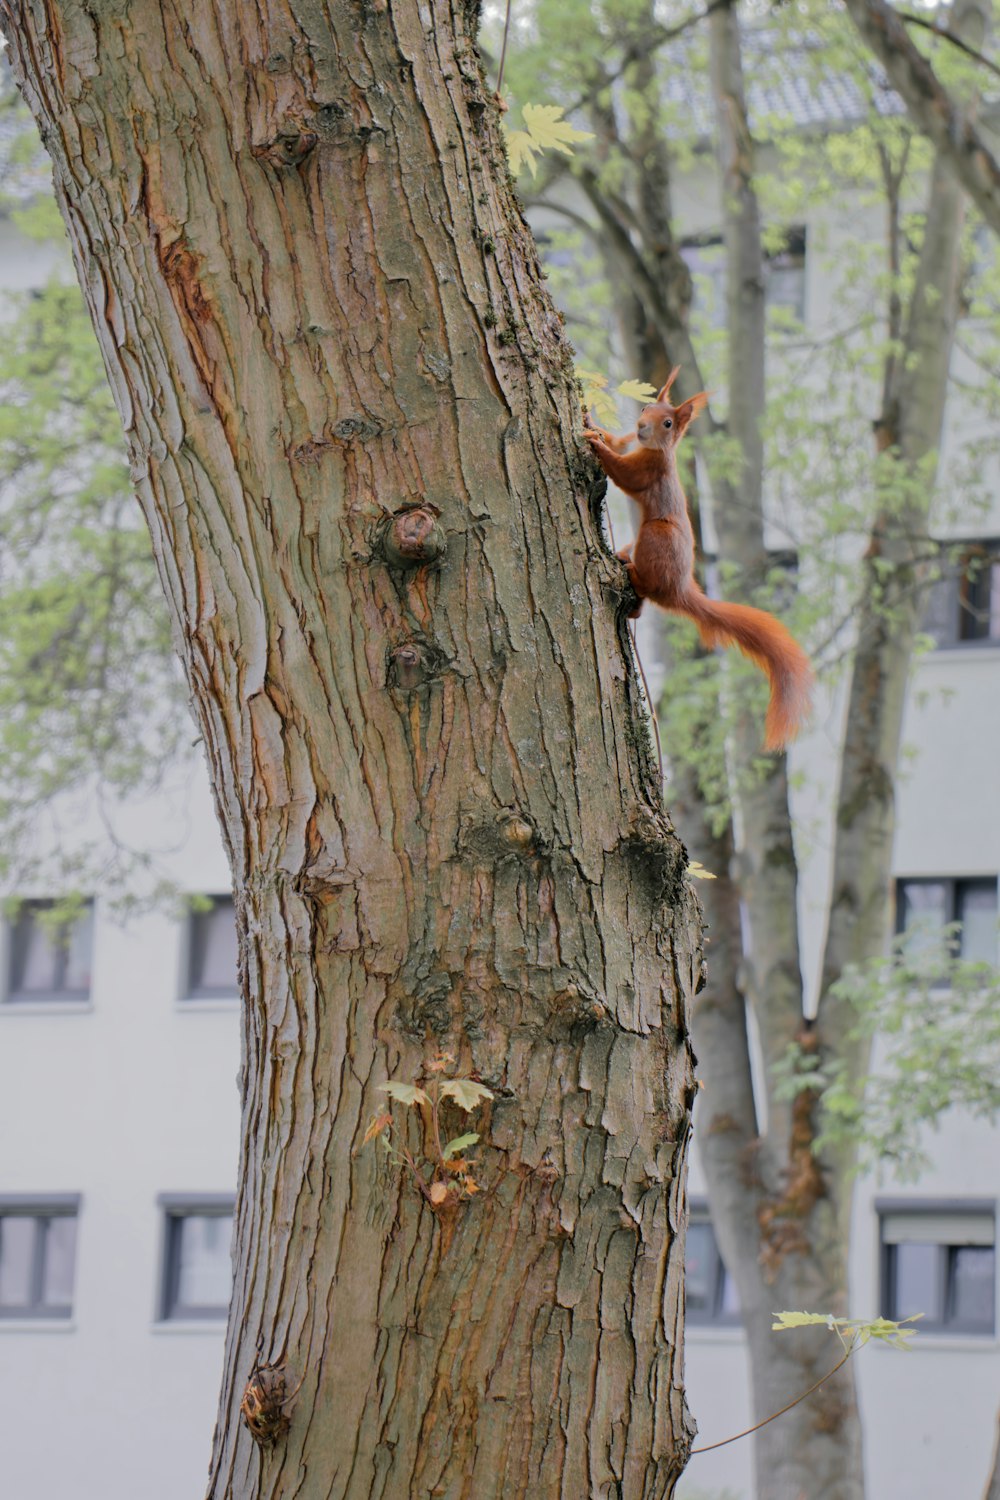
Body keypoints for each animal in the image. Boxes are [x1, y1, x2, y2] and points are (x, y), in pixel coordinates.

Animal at [587, 370, 815, 756]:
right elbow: (619, 443)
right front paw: (593, 424)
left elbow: (623, 472)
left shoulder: (650, 470)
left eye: (667, 423)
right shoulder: (633, 445)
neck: (653, 449)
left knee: (646, 589)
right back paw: (623, 562)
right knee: (640, 606)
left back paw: (632, 572)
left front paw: (593, 441)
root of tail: (681, 588)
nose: (641, 427)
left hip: (655, 536)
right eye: (645, 407)